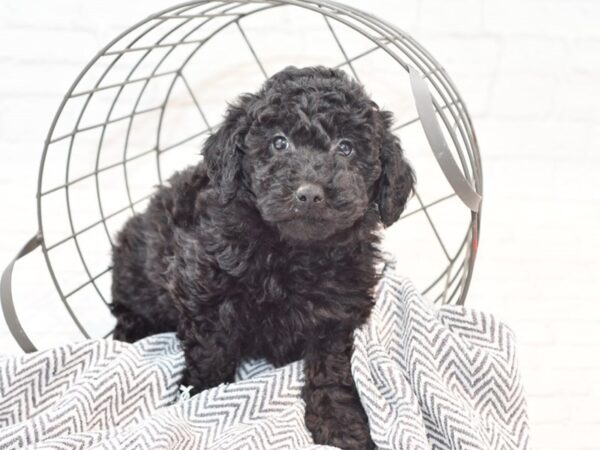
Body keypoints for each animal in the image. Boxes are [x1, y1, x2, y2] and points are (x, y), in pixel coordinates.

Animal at [110, 65, 414, 448]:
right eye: (278, 142)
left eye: (346, 148)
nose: (309, 194)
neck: (292, 250)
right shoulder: (205, 289)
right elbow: (211, 353)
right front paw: (198, 402)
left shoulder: (338, 309)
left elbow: (331, 369)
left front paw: (340, 424)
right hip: (136, 265)